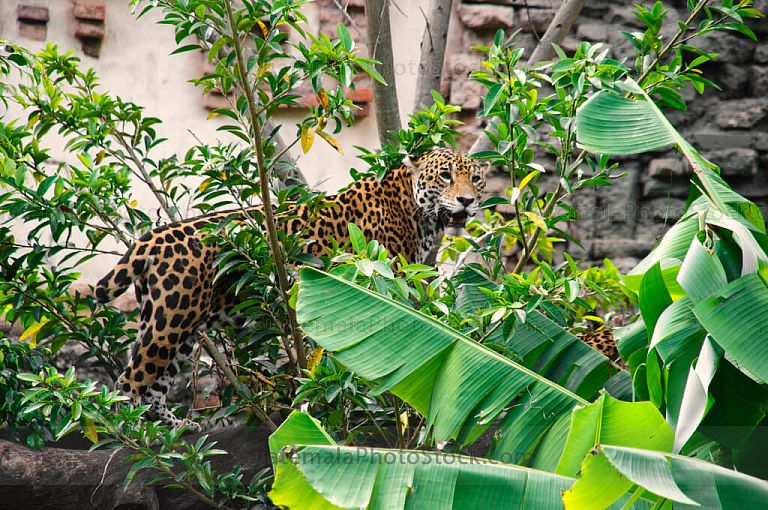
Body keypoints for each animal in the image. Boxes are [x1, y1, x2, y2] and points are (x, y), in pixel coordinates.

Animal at [94, 148, 488, 430]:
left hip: (181, 324)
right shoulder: (382, 284)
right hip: (171, 319)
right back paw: (134, 434)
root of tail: (151, 237)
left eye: (475, 179)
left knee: (154, 386)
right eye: (446, 176)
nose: (467, 200)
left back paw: (175, 429)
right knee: (130, 381)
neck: (419, 214)